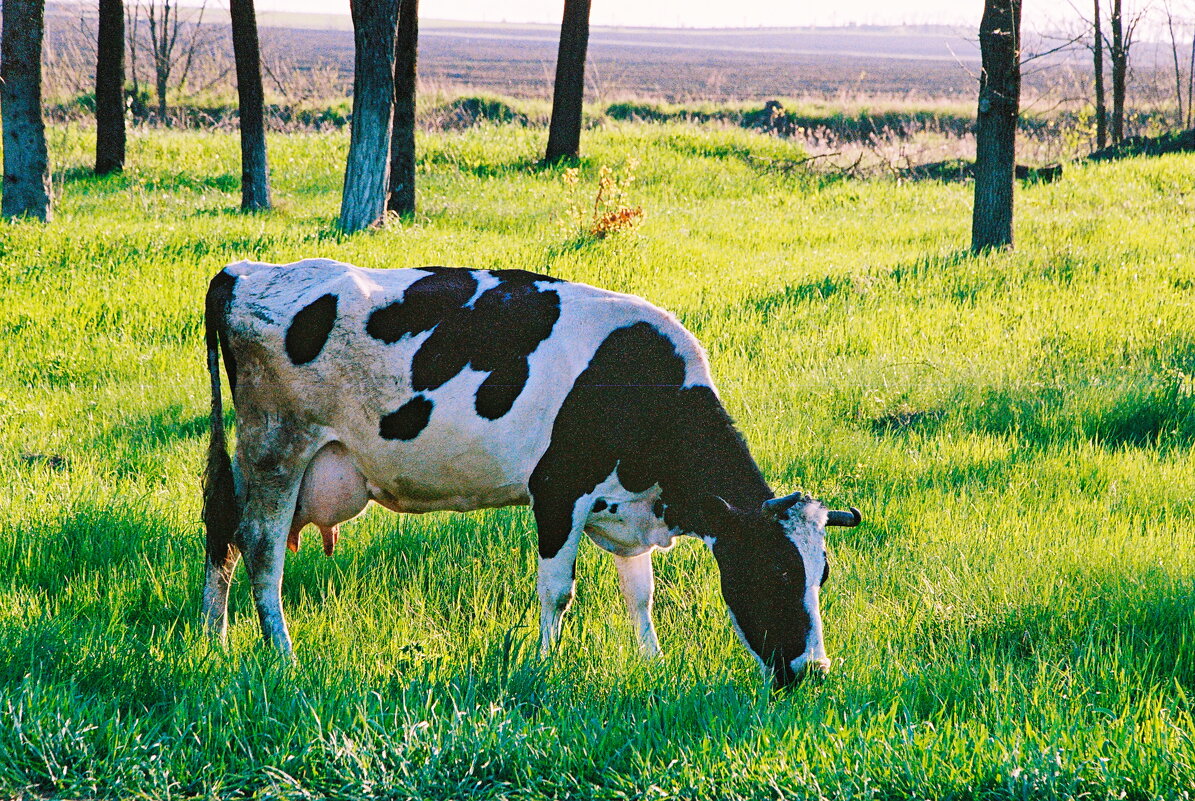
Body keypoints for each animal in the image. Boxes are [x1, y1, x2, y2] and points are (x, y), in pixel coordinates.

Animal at [205, 260, 860, 688]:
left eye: (821, 576)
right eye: (775, 572)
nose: (815, 671)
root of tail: (244, 270)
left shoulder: (628, 508)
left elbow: (640, 594)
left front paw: (651, 663)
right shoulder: (558, 491)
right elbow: (558, 590)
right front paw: (545, 665)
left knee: (222, 536)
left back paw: (215, 642)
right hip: (277, 448)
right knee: (260, 550)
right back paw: (281, 655)